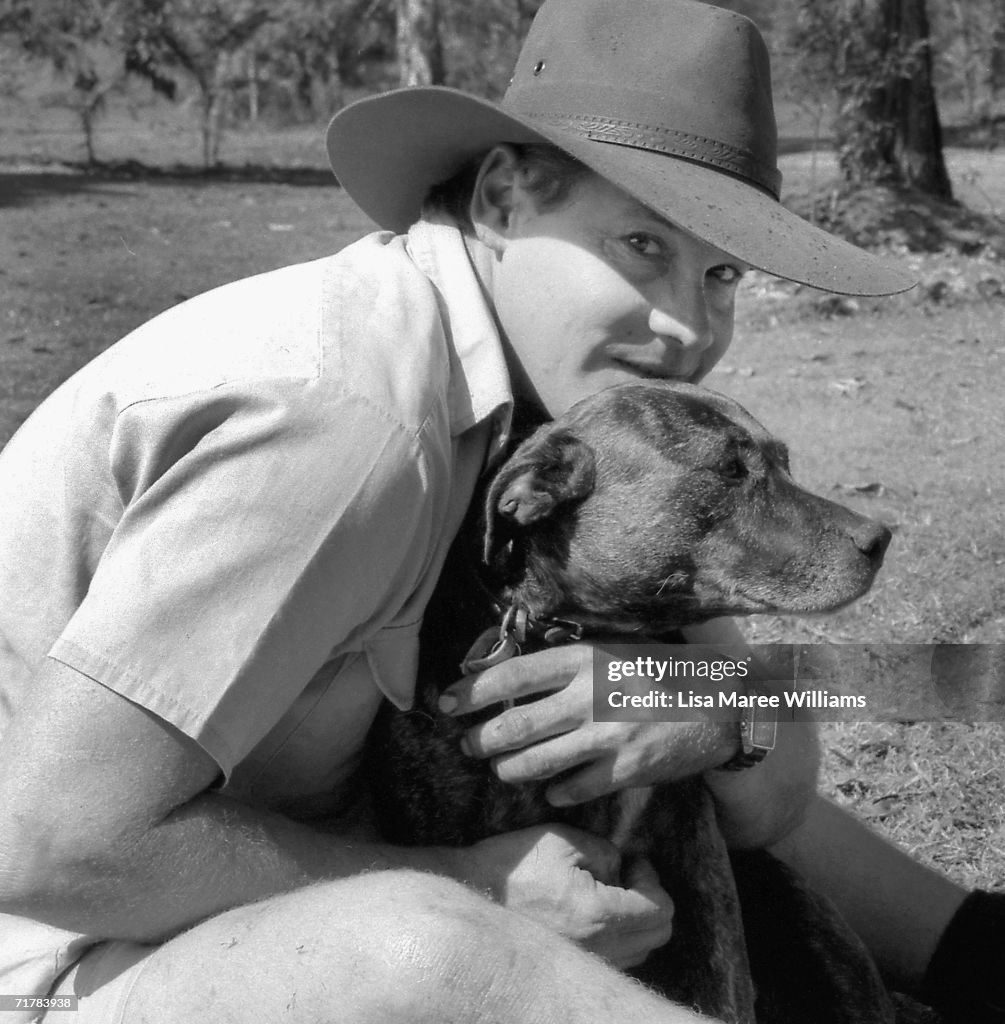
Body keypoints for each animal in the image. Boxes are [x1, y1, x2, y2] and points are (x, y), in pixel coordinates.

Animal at [366, 385, 893, 1024]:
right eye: (731, 470)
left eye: (785, 463)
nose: (880, 538)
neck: (565, 629)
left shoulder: (698, 853)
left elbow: (721, 976)